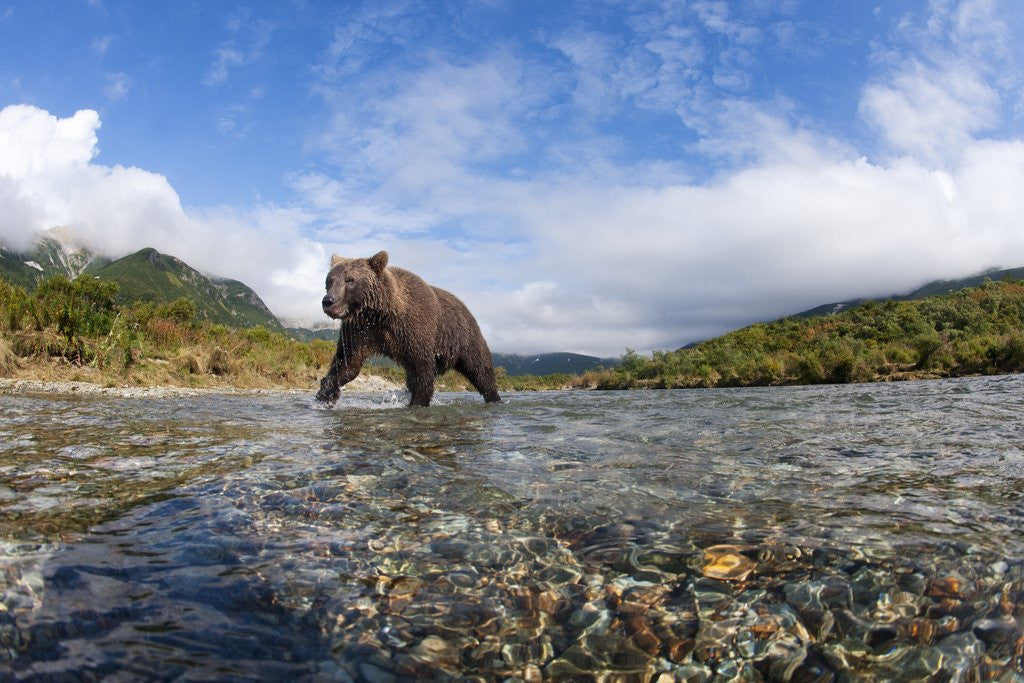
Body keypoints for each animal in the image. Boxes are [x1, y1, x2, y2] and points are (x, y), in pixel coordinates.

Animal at [316, 250, 501, 407]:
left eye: (350, 280)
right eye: (329, 280)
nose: (328, 301)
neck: (380, 313)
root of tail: (465, 307)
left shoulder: (415, 327)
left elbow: (422, 370)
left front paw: (417, 402)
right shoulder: (361, 331)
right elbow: (348, 363)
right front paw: (325, 395)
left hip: (464, 337)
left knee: (480, 369)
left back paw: (494, 397)